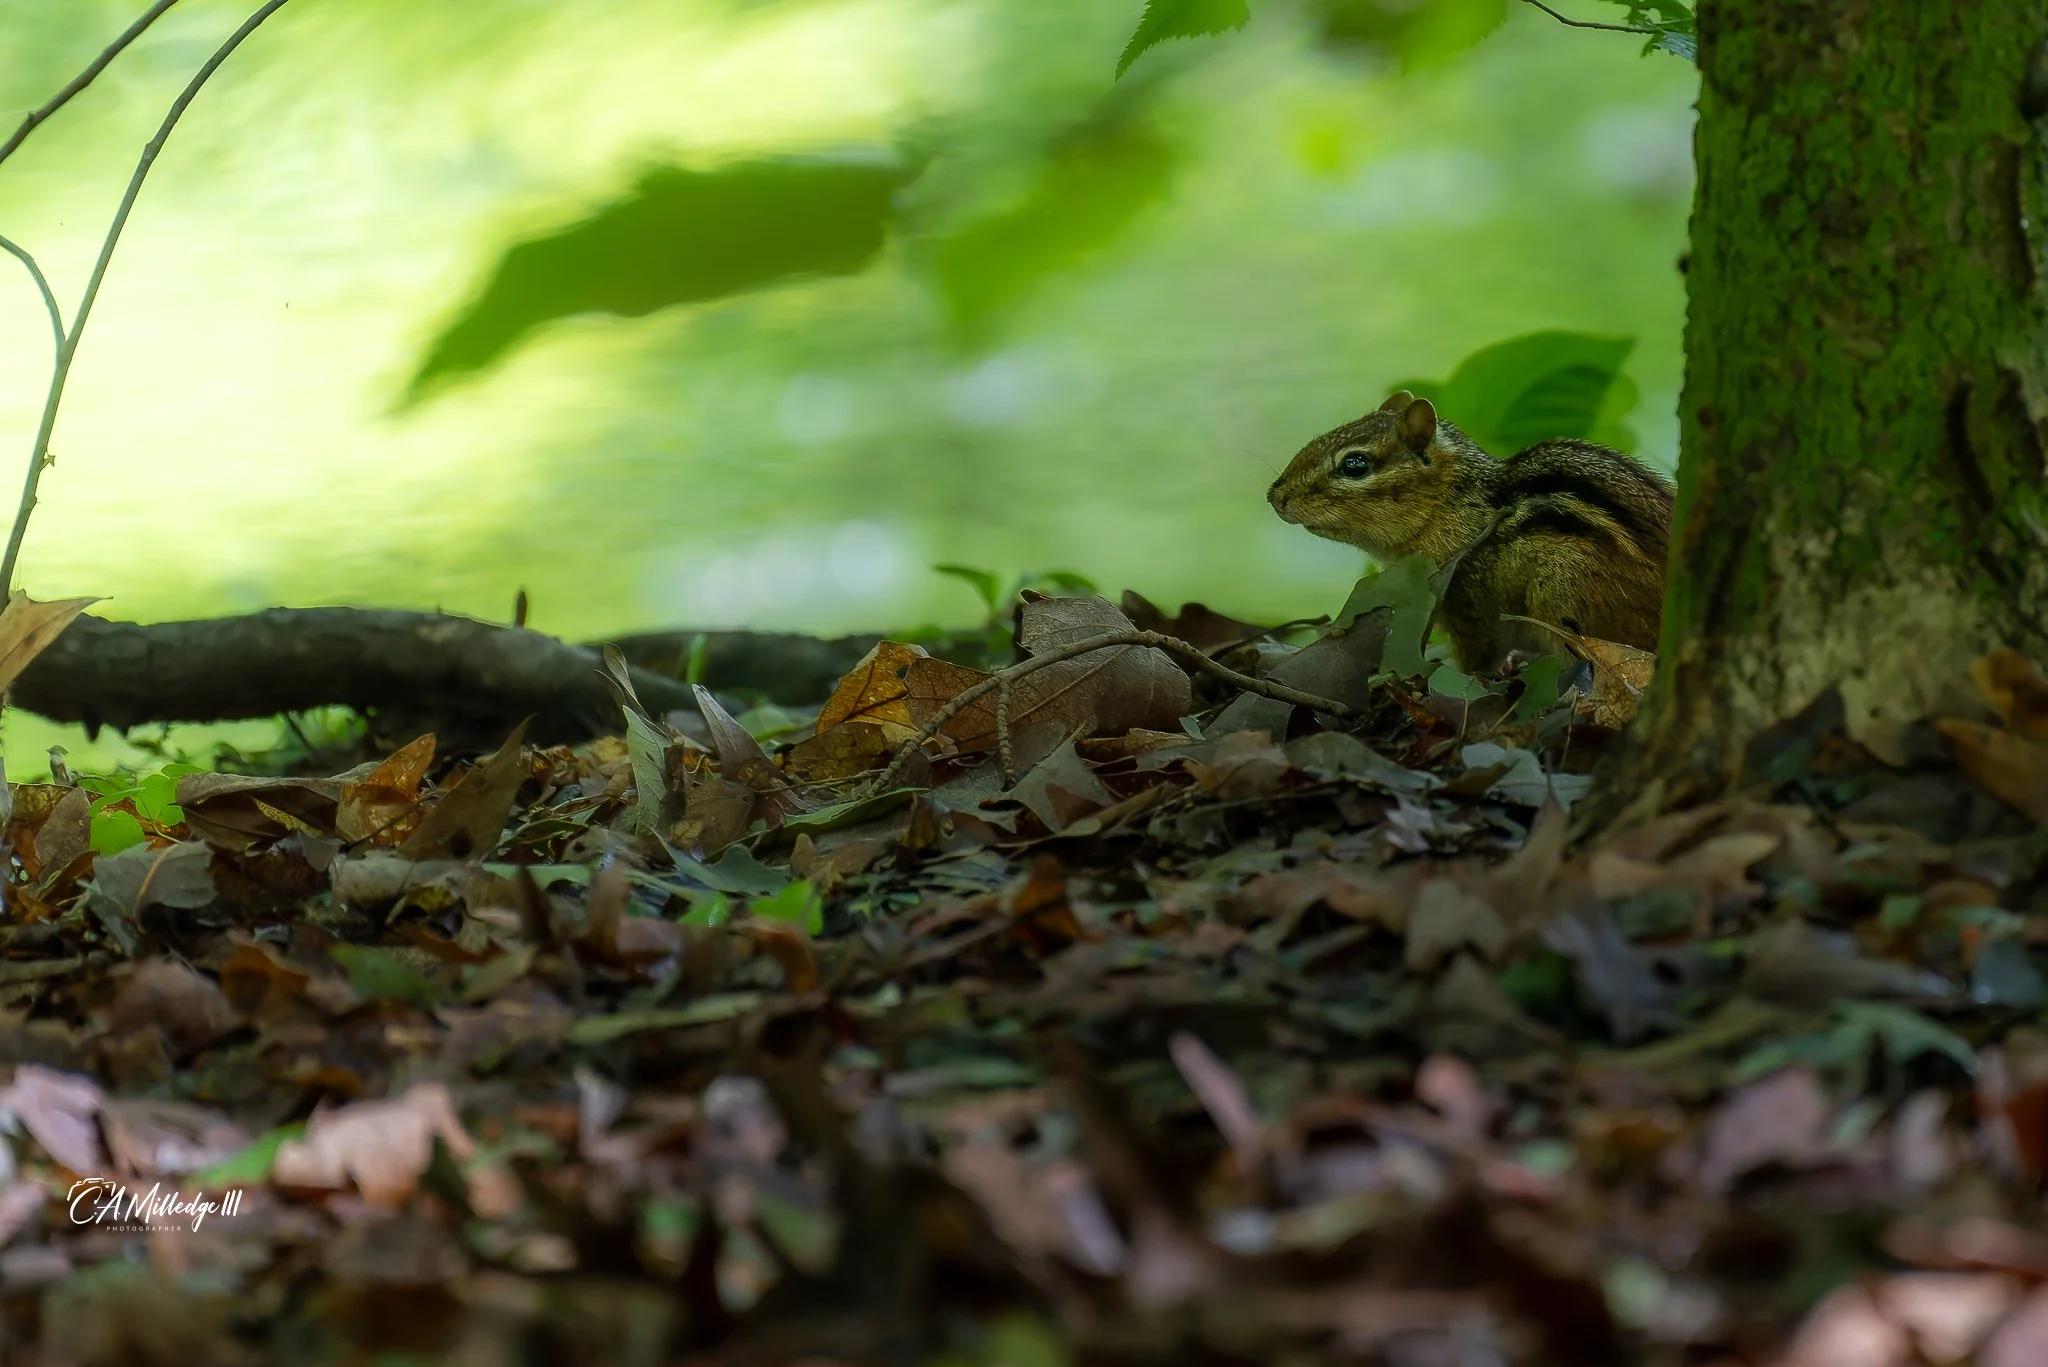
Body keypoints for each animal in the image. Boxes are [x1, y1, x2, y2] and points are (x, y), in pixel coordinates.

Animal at [1267, 390, 1675, 674]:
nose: (1275, 496)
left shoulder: (1467, 605)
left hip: (1563, 598)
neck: (1457, 507)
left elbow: (1476, 658)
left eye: (1355, 464)